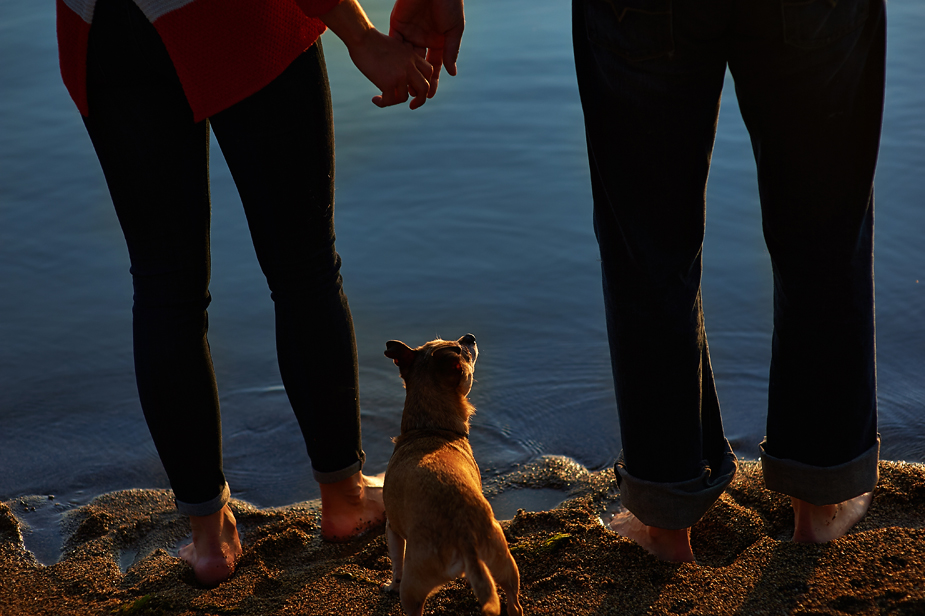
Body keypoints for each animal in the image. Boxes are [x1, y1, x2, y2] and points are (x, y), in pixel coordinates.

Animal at [380, 334, 524, 616]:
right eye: (461, 349)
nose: (470, 337)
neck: (430, 428)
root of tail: (464, 533)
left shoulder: (392, 529)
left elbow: (396, 564)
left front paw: (390, 585)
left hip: (412, 590)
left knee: (410, 595)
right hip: (504, 562)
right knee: (514, 603)